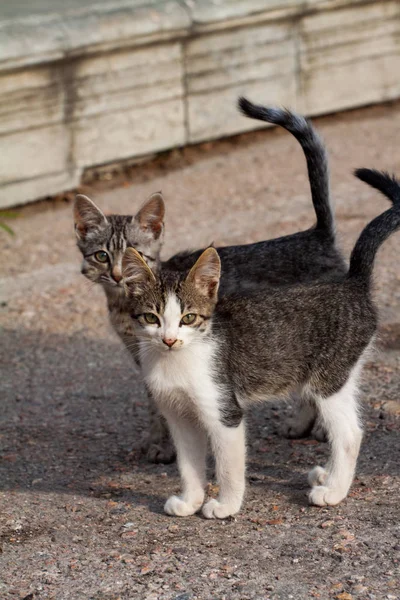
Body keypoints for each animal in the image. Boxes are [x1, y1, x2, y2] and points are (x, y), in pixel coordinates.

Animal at [75, 99, 346, 464]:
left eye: (137, 255)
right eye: (101, 255)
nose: (117, 275)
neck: (122, 304)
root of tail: (316, 234)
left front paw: (163, 446)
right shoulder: (145, 355)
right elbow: (154, 403)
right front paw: (157, 439)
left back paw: (317, 426)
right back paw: (303, 424)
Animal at [121, 170, 400, 520]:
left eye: (188, 317)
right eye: (151, 317)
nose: (169, 339)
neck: (176, 362)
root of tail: (352, 284)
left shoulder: (224, 411)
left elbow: (228, 466)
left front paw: (225, 504)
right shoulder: (179, 416)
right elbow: (188, 464)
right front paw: (189, 500)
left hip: (327, 379)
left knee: (349, 433)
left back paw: (333, 492)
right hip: (340, 376)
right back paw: (329, 476)